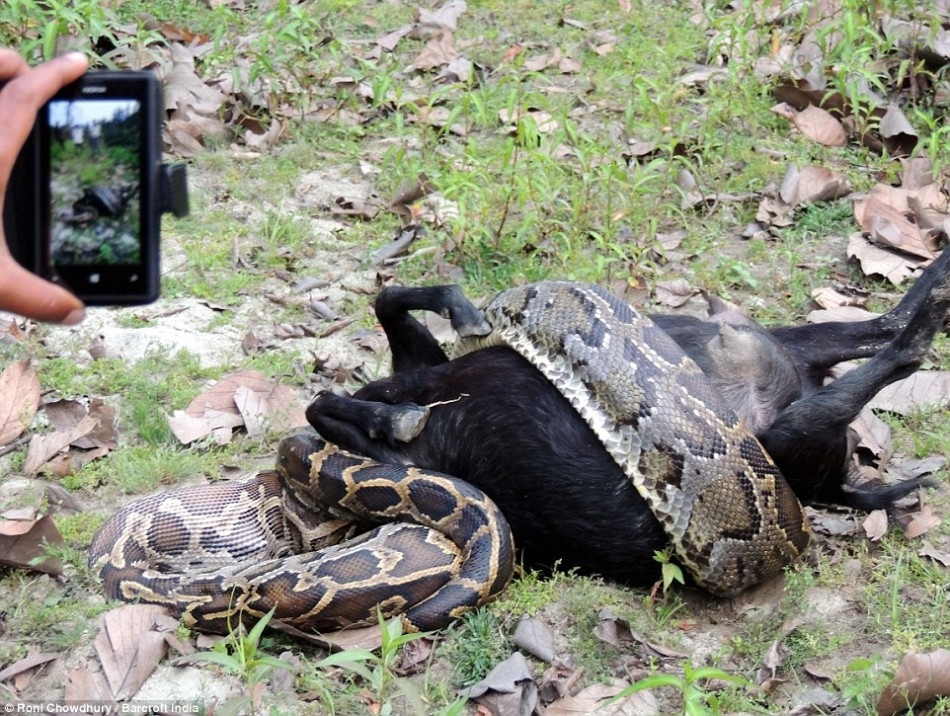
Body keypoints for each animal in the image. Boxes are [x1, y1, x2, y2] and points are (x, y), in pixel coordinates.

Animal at [308, 250, 948, 588]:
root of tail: (830, 487)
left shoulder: (421, 371)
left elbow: (387, 303)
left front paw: (460, 307)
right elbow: (327, 404)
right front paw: (384, 415)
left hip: (794, 357)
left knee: (883, 326)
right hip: (787, 443)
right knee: (890, 353)